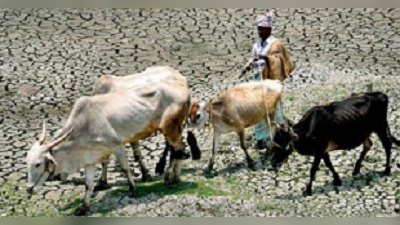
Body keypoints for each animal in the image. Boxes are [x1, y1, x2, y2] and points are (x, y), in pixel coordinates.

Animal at [270, 92, 398, 196]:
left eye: (283, 143)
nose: (273, 163)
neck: (308, 128)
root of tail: (380, 95)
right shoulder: (323, 150)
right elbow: (329, 164)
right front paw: (337, 180)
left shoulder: (319, 149)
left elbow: (313, 169)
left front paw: (308, 190)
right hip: (365, 132)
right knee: (368, 145)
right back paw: (356, 169)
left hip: (380, 126)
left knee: (387, 144)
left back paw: (387, 170)